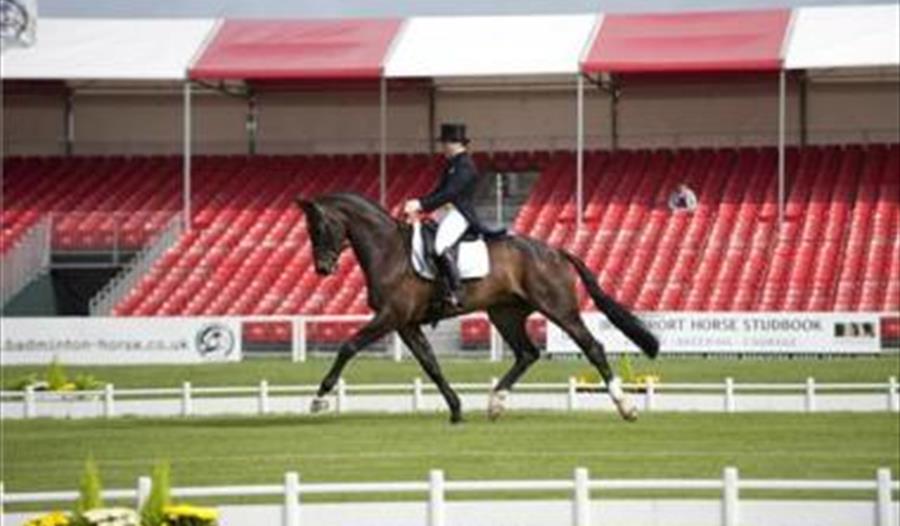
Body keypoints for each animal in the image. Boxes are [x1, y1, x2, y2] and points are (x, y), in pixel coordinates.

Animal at [298, 194, 656, 424]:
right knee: (527, 353)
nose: (322, 268)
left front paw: (319, 398)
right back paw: (495, 403)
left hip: (558, 308)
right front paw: (456, 409)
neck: (388, 251)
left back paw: (626, 407)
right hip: (505, 313)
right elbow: (430, 364)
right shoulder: (406, 323)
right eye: (309, 230)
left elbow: (348, 346)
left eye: (320, 228)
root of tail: (555, 250)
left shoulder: (391, 316)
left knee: (592, 347)